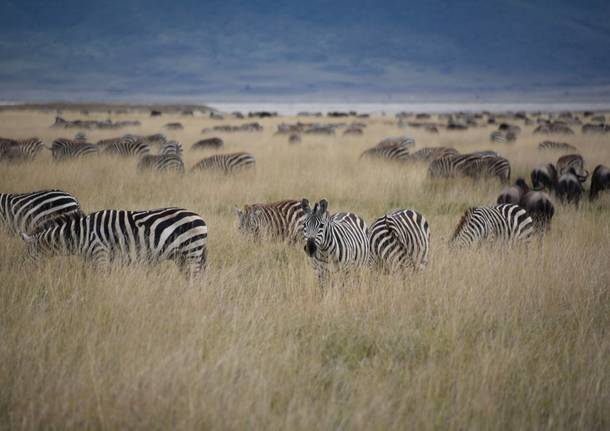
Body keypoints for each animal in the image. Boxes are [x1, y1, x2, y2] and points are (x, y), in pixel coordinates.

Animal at [19, 208, 207, 278]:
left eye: (28, 255)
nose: (22, 274)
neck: (80, 235)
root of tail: (200, 217)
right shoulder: (92, 259)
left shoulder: (100, 253)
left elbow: (100, 279)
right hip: (182, 257)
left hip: (191, 252)